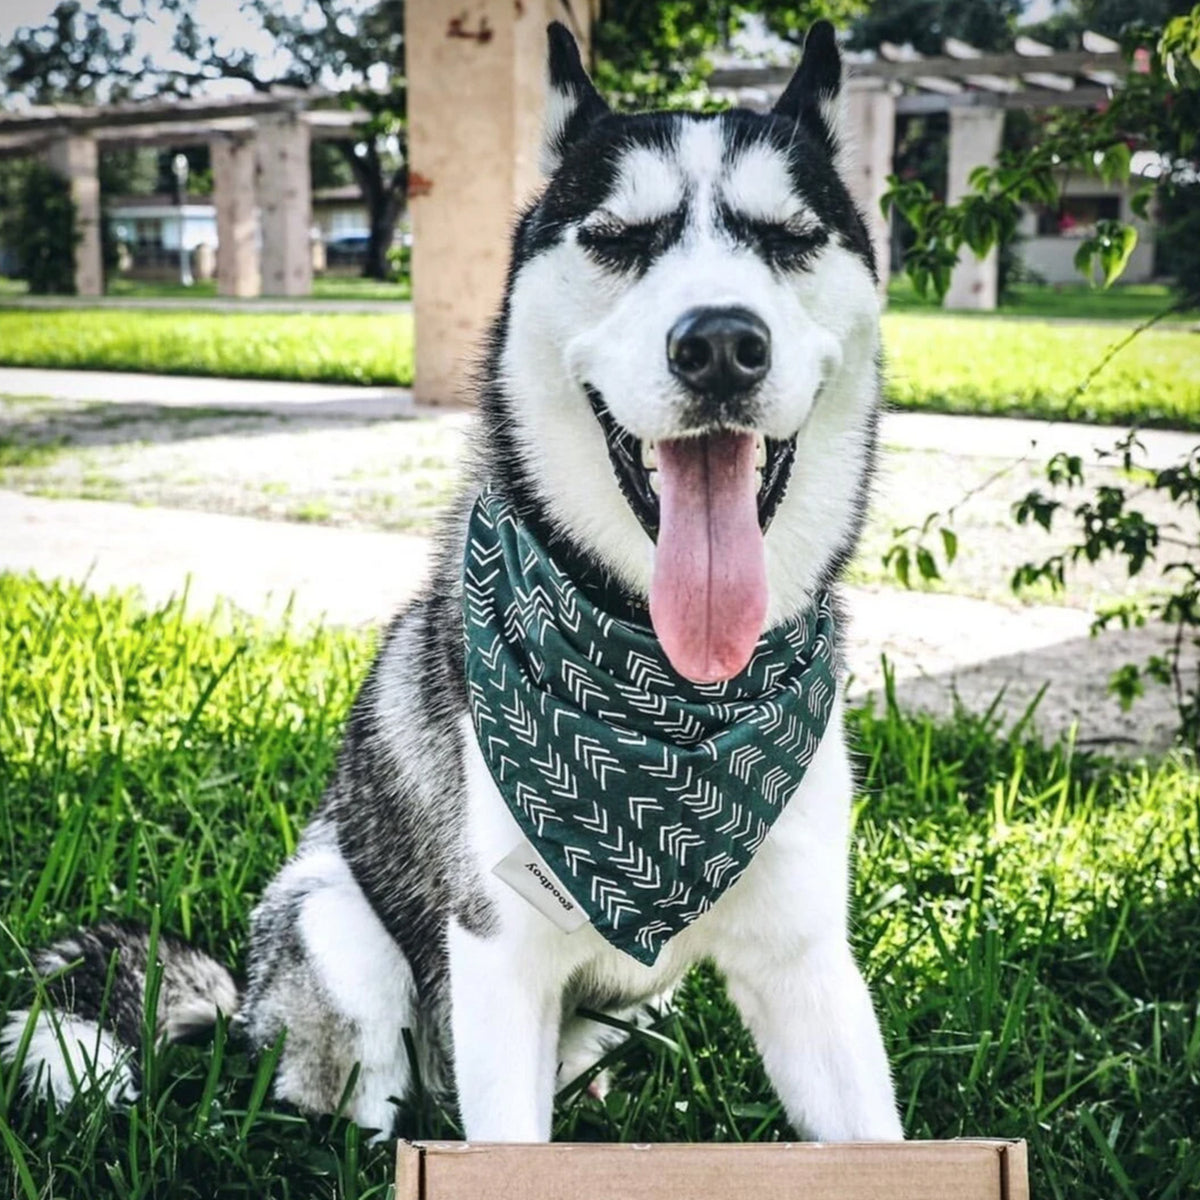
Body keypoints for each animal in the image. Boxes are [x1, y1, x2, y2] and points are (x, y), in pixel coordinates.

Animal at [0, 21, 902, 1142]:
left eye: (789, 236)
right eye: (616, 237)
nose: (722, 344)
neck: (676, 688)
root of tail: (242, 1007)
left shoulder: (808, 966)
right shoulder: (497, 957)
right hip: (335, 930)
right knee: (363, 1112)